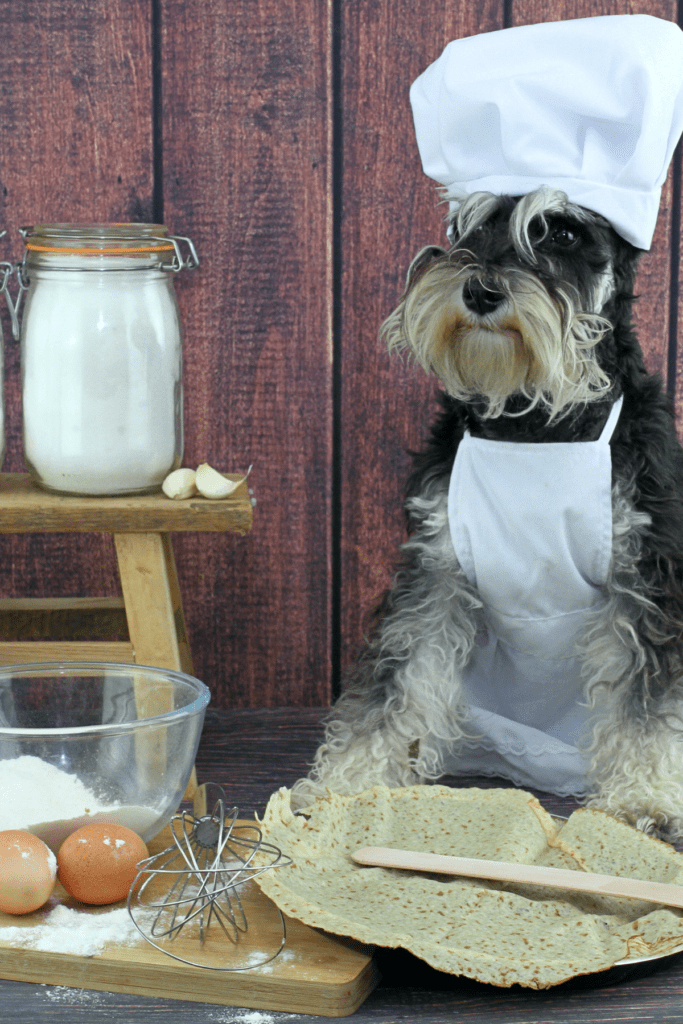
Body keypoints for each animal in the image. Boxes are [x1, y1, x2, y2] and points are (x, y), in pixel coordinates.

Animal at [294, 184, 683, 839]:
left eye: (564, 233)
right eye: (469, 227)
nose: (479, 291)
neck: (534, 425)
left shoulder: (646, 580)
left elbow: (647, 702)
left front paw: (646, 798)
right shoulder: (434, 571)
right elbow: (395, 682)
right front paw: (348, 783)